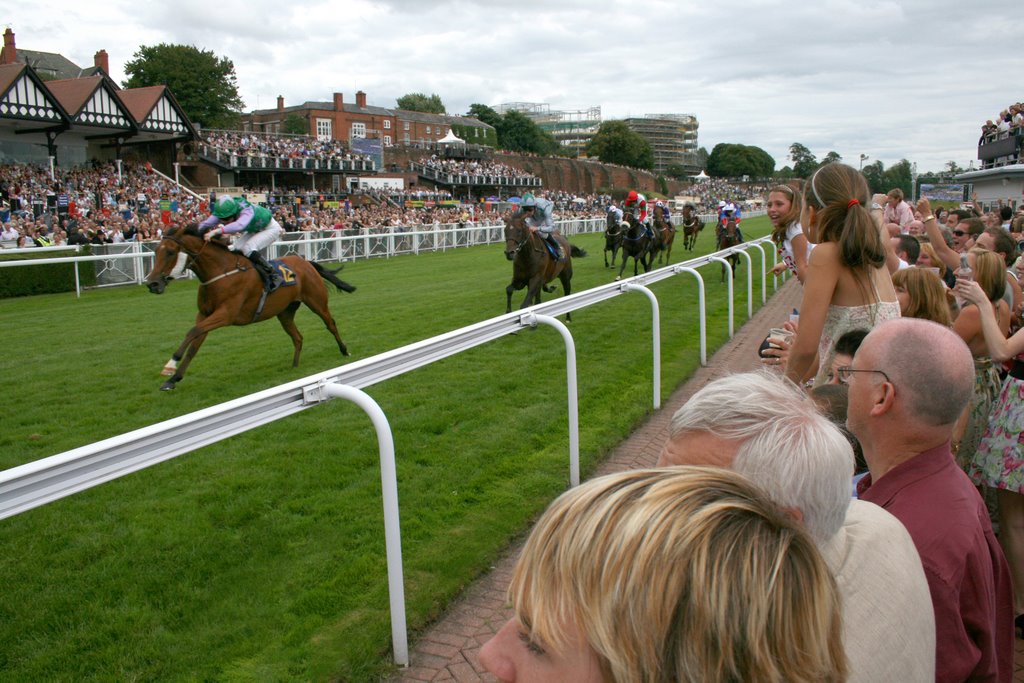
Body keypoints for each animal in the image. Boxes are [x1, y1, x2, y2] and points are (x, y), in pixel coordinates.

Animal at [142, 224, 354, 389]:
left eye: (170, 252)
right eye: (155, 251)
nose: (152, 283)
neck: (220, 272)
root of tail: (305, 262)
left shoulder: (225, 314)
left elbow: (192, 332)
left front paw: (171, 364)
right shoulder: (204, 314)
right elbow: (195, 342)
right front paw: (173, 379)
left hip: (316, 301)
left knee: (330, 324)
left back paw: (344, 350)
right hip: (285, 312)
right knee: (298, 337)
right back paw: (294, 367)